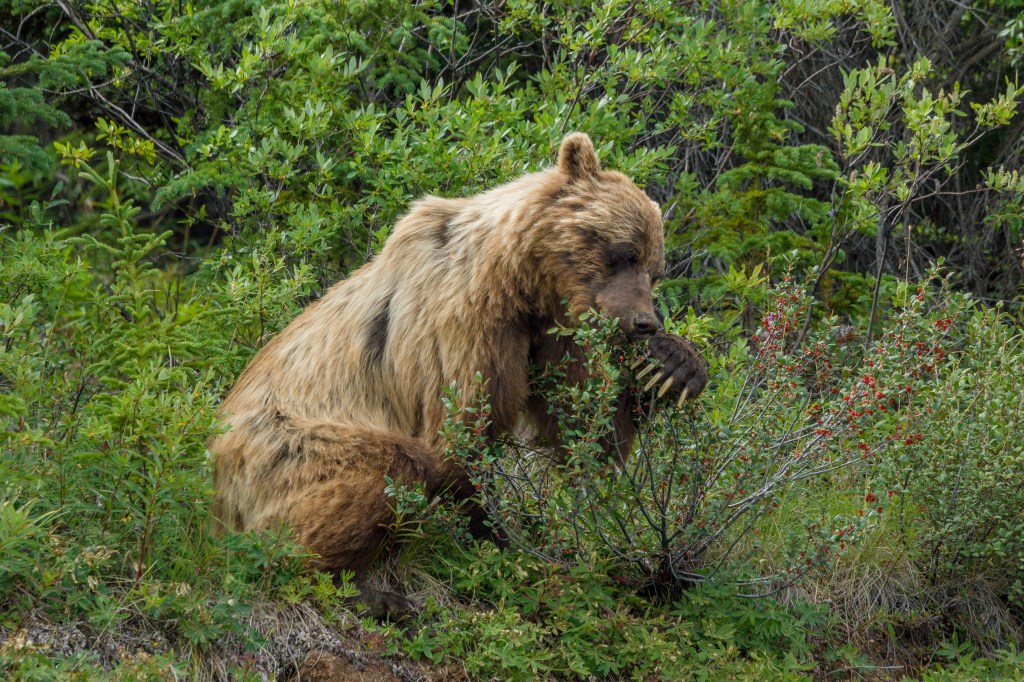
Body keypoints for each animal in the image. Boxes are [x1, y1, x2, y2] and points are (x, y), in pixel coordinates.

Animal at [211, 133, 708, 606]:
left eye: (655, 270)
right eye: (624, 252)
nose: (644, 322)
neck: (521, 283)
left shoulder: (550, 336)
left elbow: (583, 427)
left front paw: (673, 366)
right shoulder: (462, 323)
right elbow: (459, 435)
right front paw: (508, 545)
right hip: (282, 451)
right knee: (387, 466)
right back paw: (366, 590)